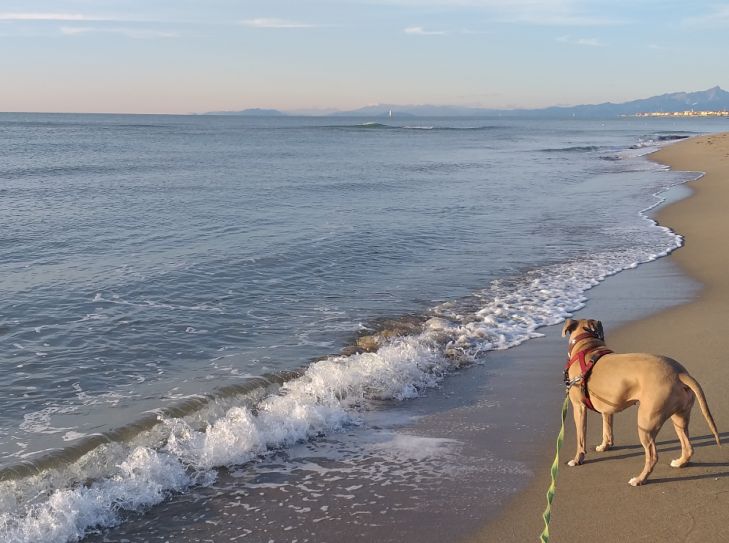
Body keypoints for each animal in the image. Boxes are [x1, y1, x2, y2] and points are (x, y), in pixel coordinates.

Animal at [560, 316, 720, 486]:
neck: (587, 346)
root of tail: (680, 373)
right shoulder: (608, 409)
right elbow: (607, 429)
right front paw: (605, 446)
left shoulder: (579, 407)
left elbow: (580, 438)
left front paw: (577, 459)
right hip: (679, 417)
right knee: (688, 446)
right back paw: (680, 462)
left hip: (646, 422)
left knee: (653, 456)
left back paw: (639, 479)